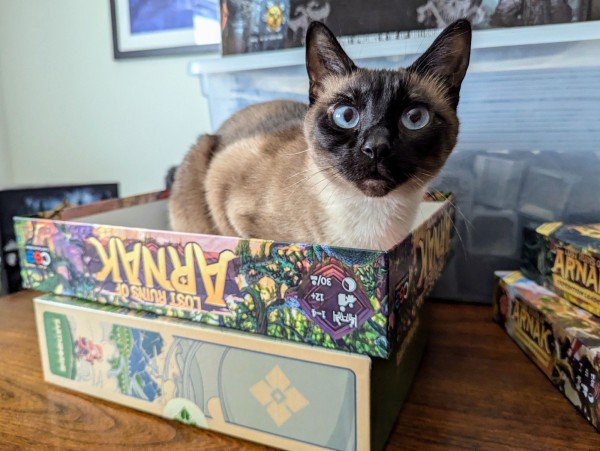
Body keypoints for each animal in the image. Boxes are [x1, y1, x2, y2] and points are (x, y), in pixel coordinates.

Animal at [166, 19, 472, 251]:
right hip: (203, 156)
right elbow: (243, 241)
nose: (376, 147)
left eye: (414, 118)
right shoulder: (227, 195)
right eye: (346, 116)